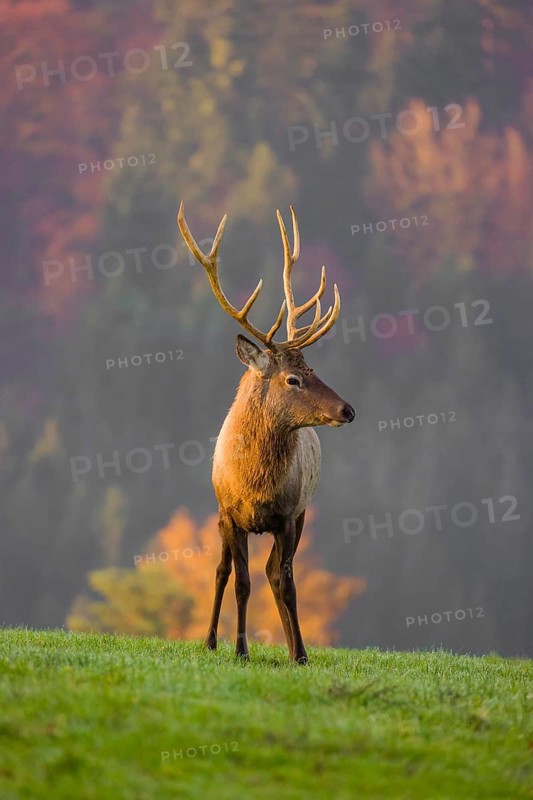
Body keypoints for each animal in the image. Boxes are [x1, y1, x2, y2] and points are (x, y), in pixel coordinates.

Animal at [177, 201, 355, 664]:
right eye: (293, 379)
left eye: (313, 369)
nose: (347, 410)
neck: (255, 484)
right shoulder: (229, 513)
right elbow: (239, 582)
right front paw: (239, 650)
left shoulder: (289, 514)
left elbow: (287, 583)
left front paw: (301, 653)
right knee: (222, 571)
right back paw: (210, 640)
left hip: (302, 513)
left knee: (275, 572)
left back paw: (293, 647)